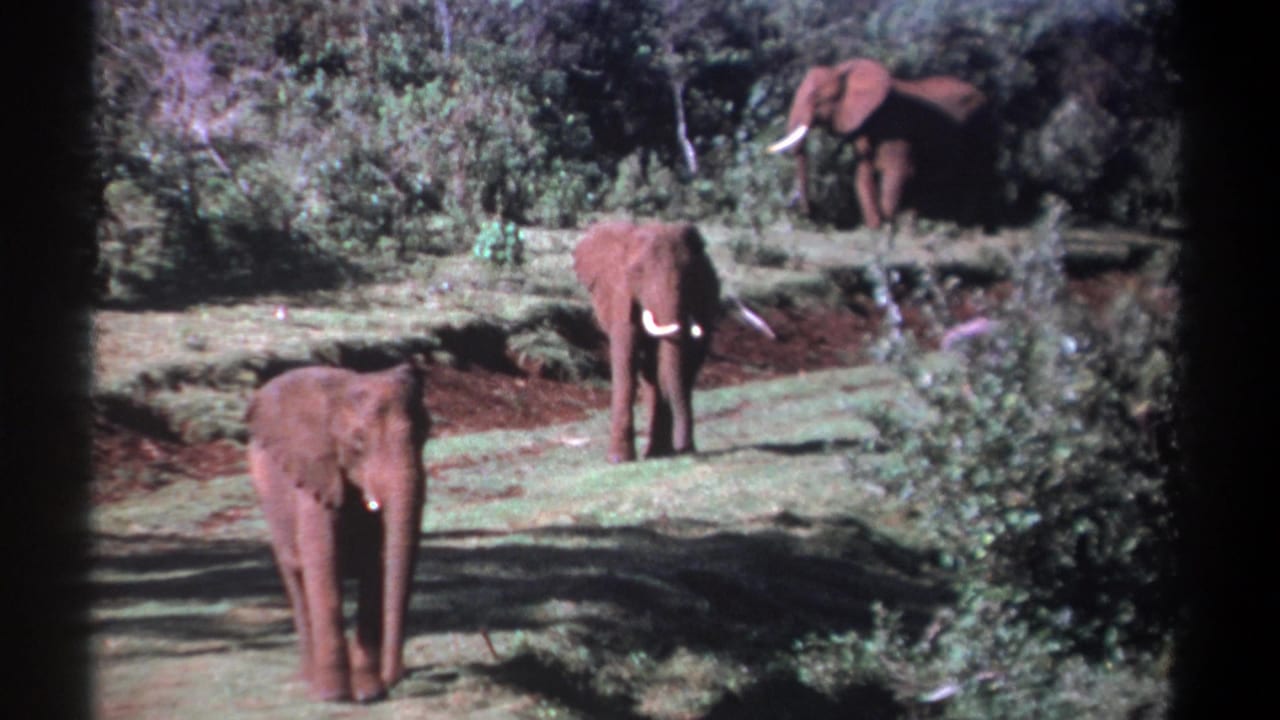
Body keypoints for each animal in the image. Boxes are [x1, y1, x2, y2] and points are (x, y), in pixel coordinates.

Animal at [247, 362, 429, 703]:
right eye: (358, 441)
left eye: (425, 434)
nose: (395, 679)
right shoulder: (314, 476)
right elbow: (323, 565)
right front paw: (332, 696)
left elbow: (375, 566)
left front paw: (369, 693)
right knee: (296, 579)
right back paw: (309, 679)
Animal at [573, 221, 721, 463]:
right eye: (637, 272)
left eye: (689, 273)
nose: (685, 449)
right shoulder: (620, 294)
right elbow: (626, 358)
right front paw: (618, 460)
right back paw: (658, 452)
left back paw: (661, 452)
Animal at [768, 57, 988, 229]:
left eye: (817, 97)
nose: (808, 213)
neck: (843, 71)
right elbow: (863, 174)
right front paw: (876, 227)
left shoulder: (895, 123)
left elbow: (898, 171)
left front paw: (891, 223)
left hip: (984, 124)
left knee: (977, 177)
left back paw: (968, 227)